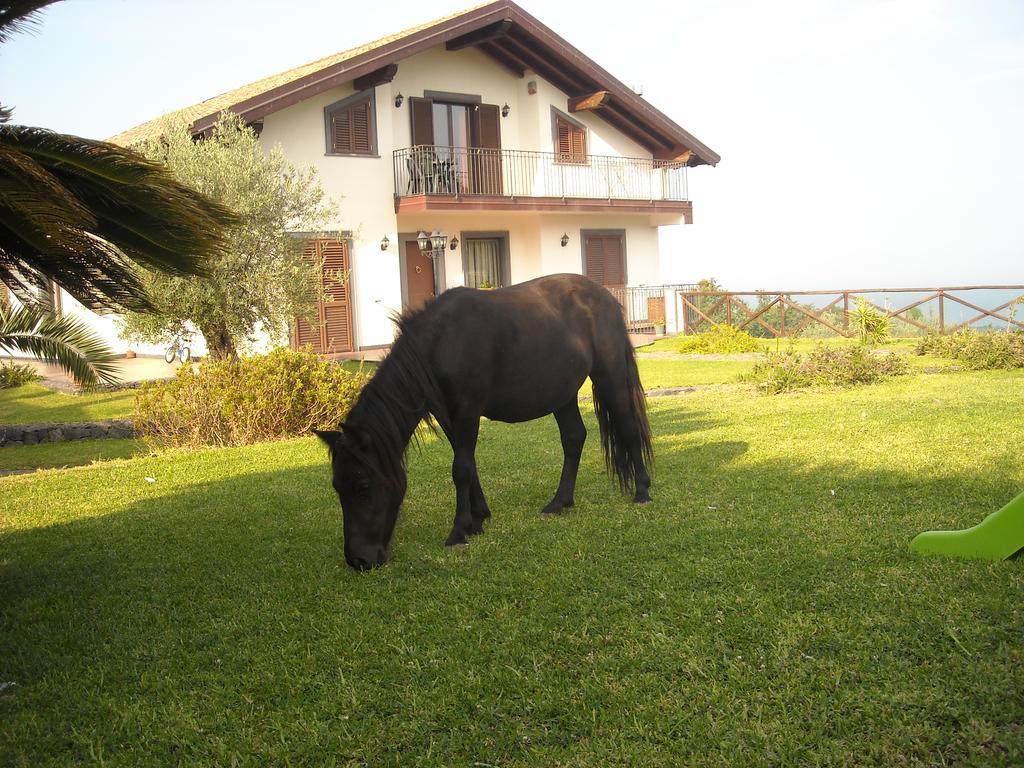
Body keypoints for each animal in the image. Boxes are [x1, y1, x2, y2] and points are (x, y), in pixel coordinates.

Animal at [315, 274, 651, 569]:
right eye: (336, 487)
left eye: (362, 485)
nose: (358, 560)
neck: (441, 343)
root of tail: (606, 298)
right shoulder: (449, 416)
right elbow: (467, 463)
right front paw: (477, 518)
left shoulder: (467, 410)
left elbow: (461, 469)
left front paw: (458, 532)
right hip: (563, 393)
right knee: (573, 438)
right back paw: (559, 502)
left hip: (609, 376)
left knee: (628, 429)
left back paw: (642, 492)